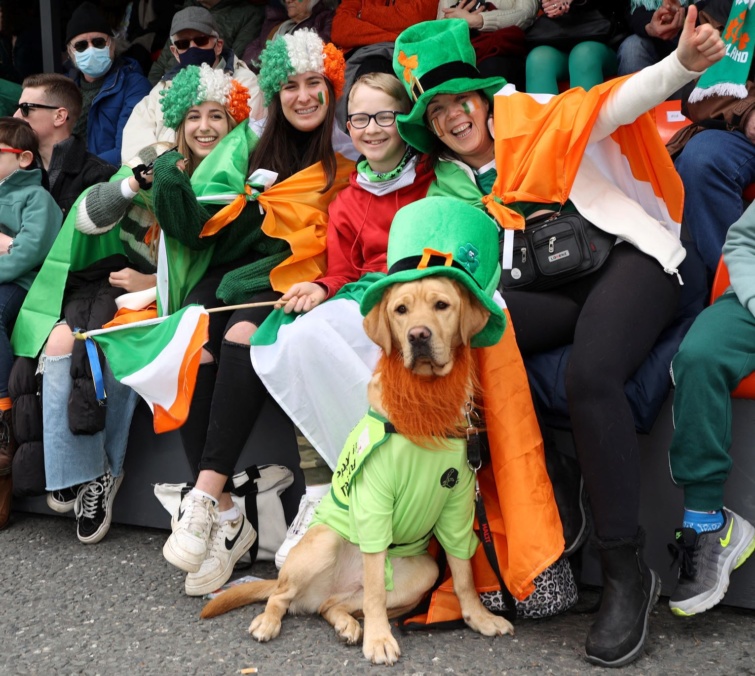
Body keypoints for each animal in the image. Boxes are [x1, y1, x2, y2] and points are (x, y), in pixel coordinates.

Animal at [199, 198, 512, 664]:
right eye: (401, 310)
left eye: (441, 305)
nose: (418, 336)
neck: (425, 410)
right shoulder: (375, 505)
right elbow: (378, 591)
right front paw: (380, 640)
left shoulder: (458, 507)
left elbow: (463, 575)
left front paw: (478, 618)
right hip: (325, 542)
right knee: (283, 596)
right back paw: (271, 622)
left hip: (422, 570)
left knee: (335, 603)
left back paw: (348, 624)